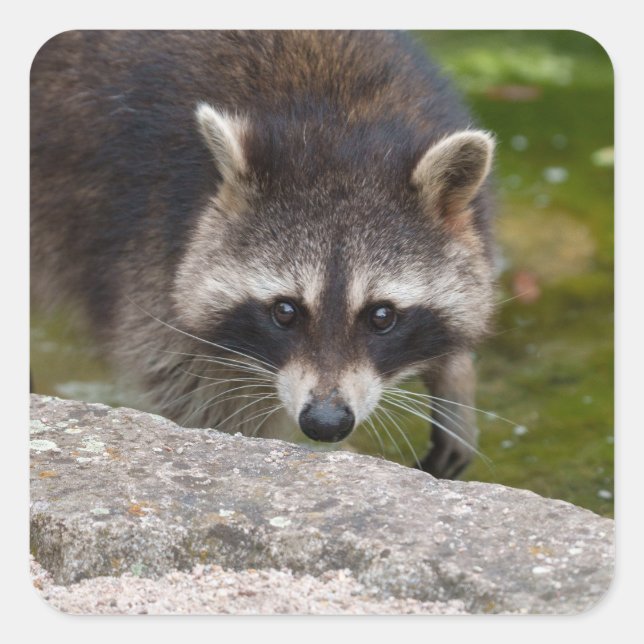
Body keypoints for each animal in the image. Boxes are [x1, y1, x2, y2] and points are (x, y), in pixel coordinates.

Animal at [30, 30, 496, 479]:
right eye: (285, 311)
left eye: (382, 316)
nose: (326, 423)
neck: (339, 125)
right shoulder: (149, 247)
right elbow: (205, 399)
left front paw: (455, 374)